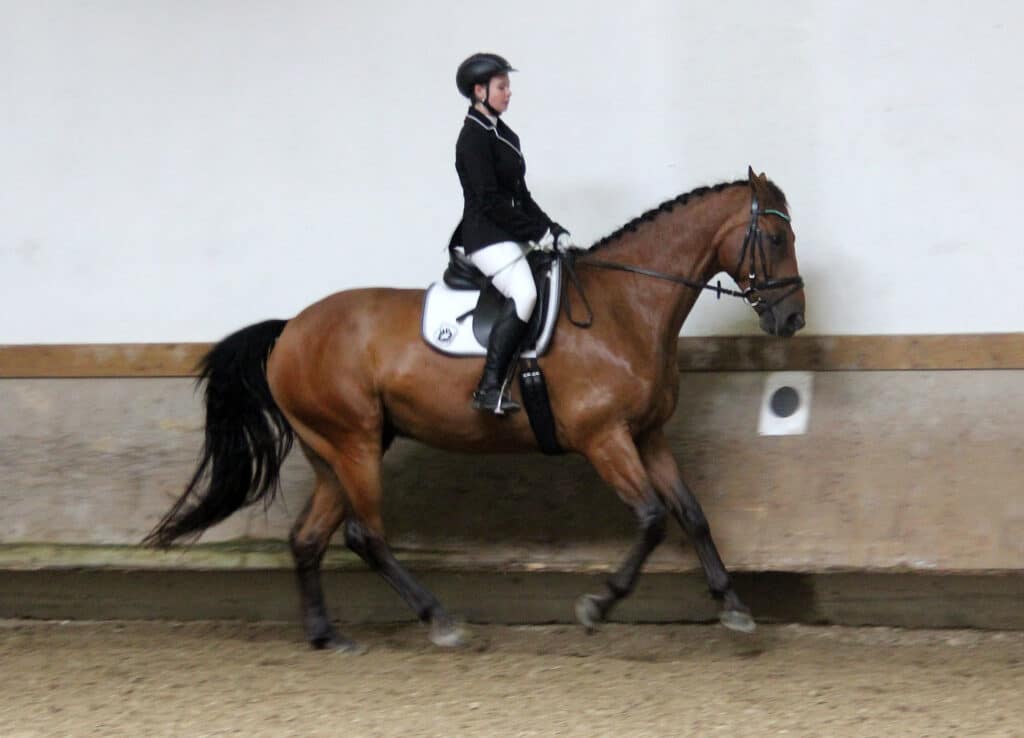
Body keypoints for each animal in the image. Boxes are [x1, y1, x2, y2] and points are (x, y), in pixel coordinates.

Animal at [145, 167, 806, 651]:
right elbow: (650, 519)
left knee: (309, 538)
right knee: (365, 534)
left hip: (335, 449)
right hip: (354, 443)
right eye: (776, 239)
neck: (628, 304)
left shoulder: (647, 436)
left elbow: (692, 514)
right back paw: (439, 619)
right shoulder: (604, 438)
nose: (792, 319)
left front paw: (734, 606)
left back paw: (326, 636)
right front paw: (597, 604)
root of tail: (289, 330)